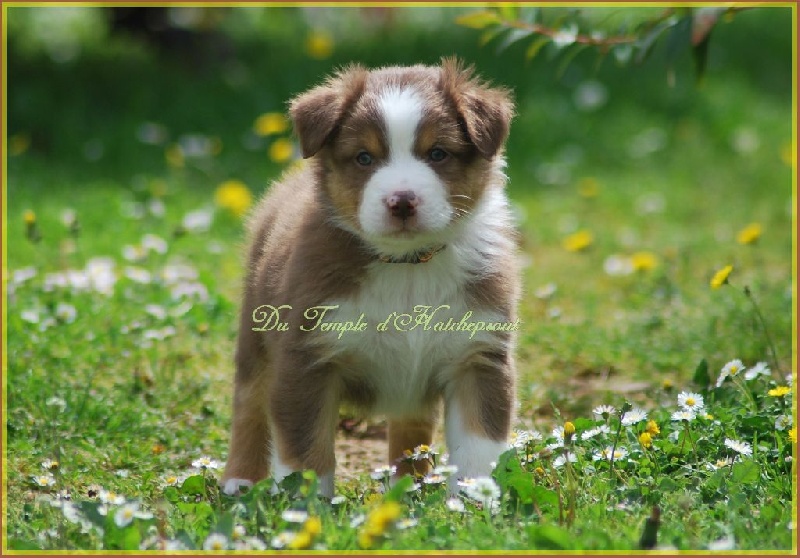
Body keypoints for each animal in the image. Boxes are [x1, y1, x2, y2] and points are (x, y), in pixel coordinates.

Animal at [220, 58, 520, 498]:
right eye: (364, 158)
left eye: (438, 153)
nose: (402, 201)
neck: (408, 267)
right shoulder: (306, 358)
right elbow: (305, 455)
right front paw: (306, 509)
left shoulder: (478, 356)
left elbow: (478, 450)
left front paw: (473, 504)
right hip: (255, 334)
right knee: (249, 405)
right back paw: (239, 479)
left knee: (412, 426)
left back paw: (412, 485)